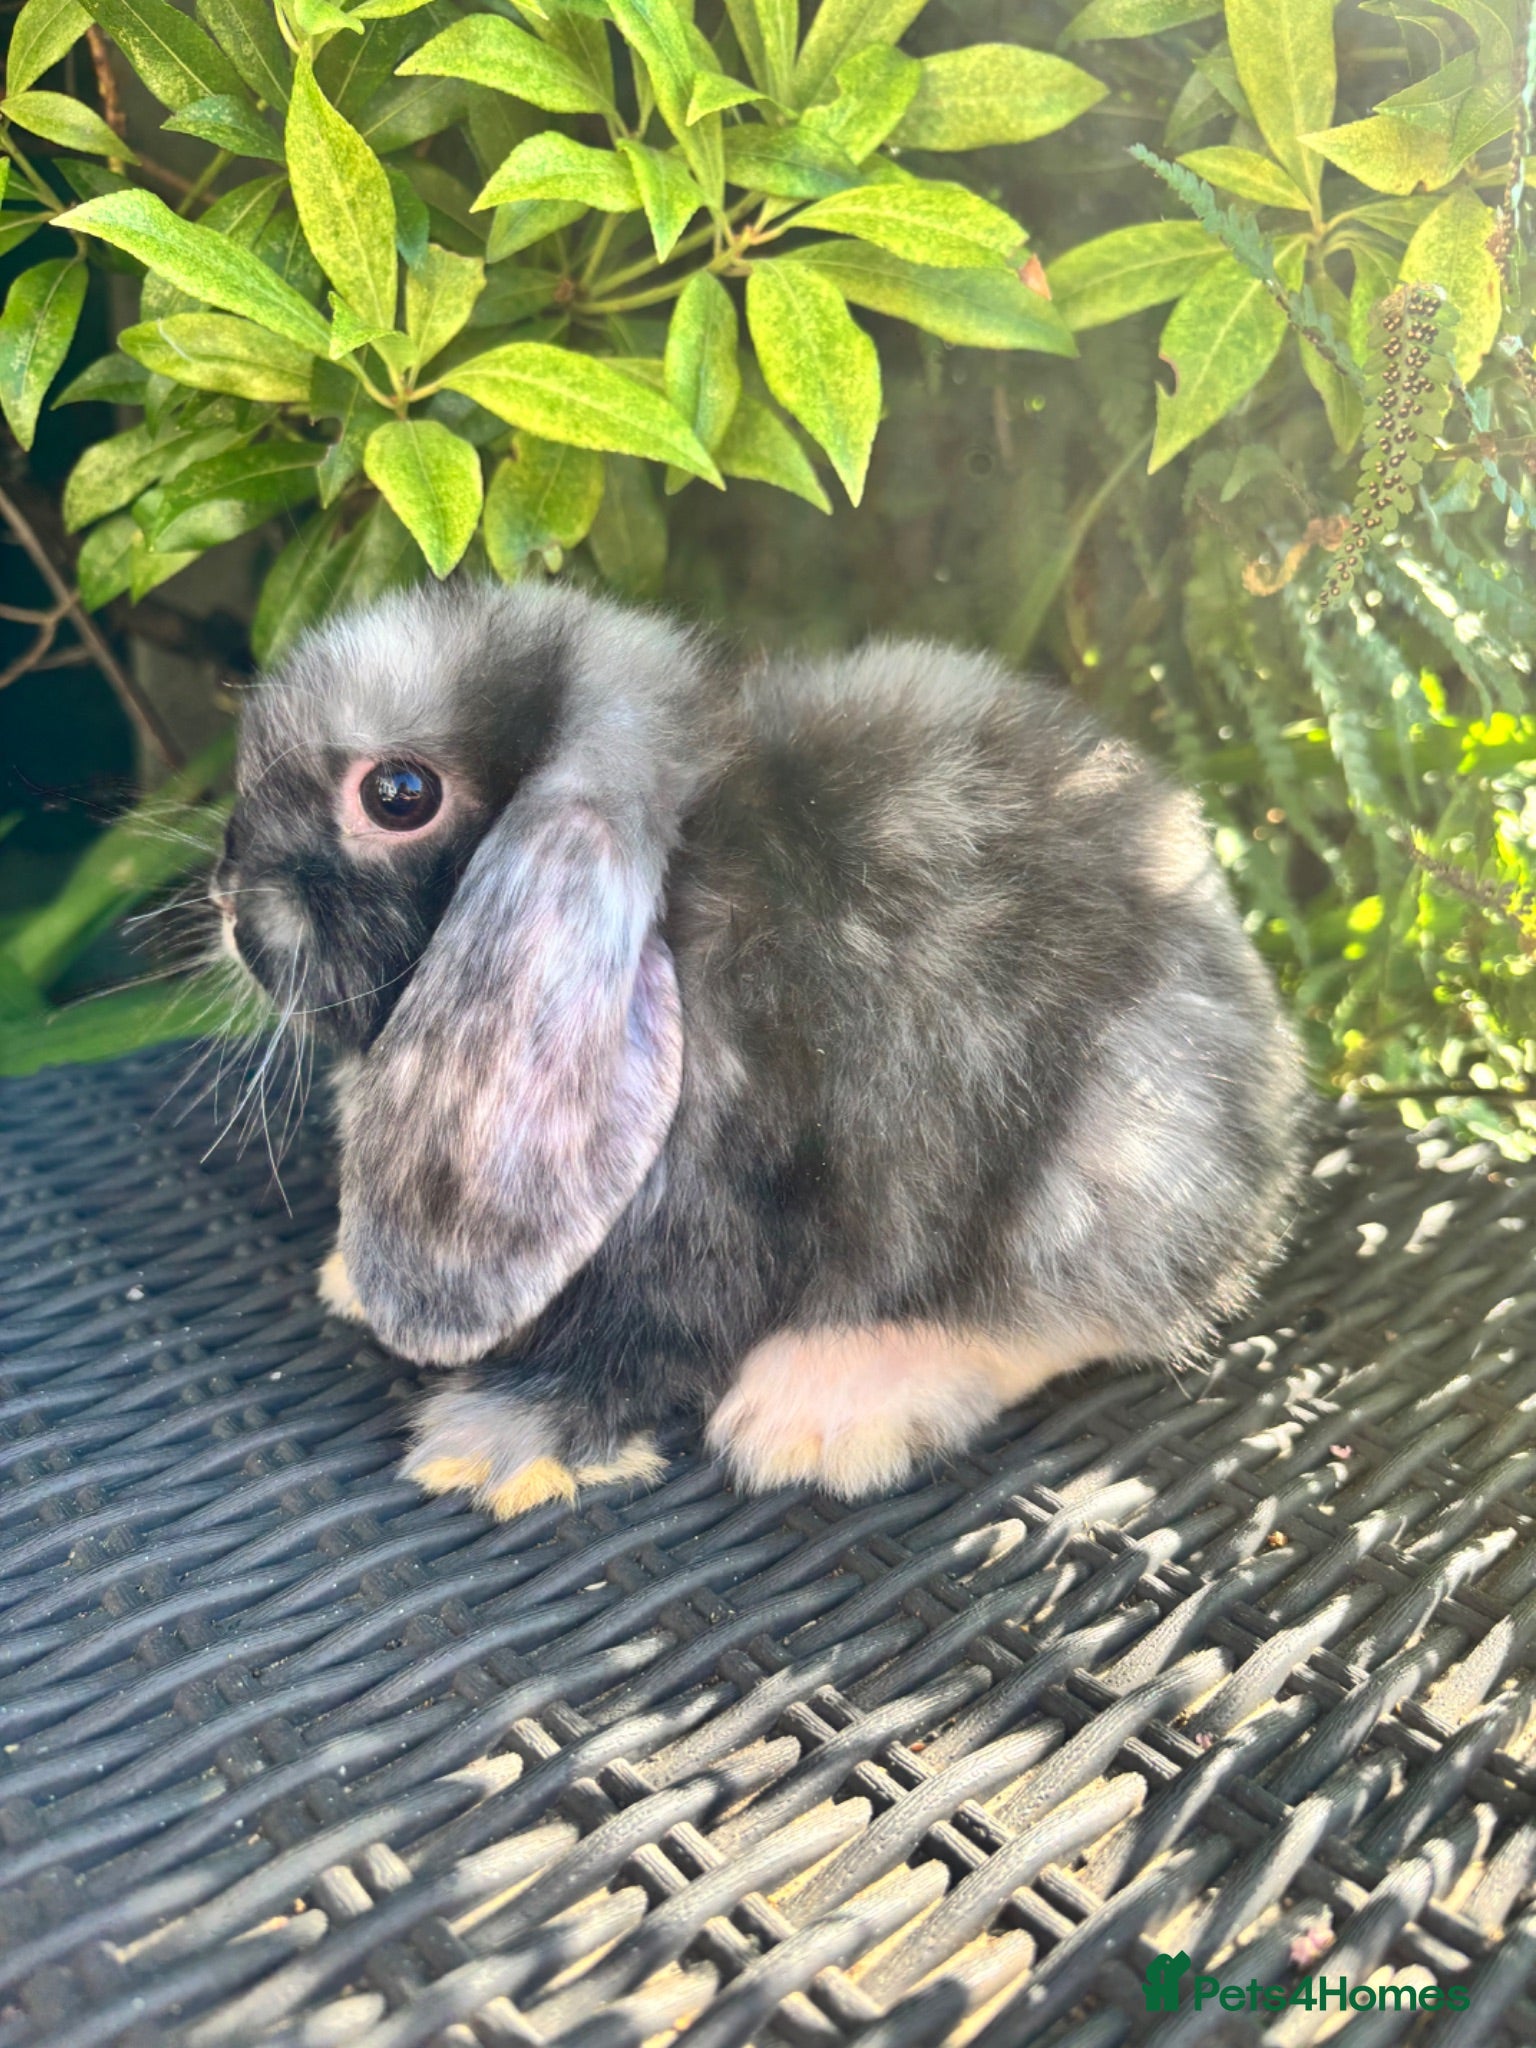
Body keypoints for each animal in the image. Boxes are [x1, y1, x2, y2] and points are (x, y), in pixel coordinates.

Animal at [214, 576, 1305, 1520]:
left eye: (398, 793)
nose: (229, 899)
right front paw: (350, 1281)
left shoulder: (709, 1215)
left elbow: (638, 1341)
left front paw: (492, 1445)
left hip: (1102, 1167)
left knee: (1064, 1315)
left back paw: (826, 1404)